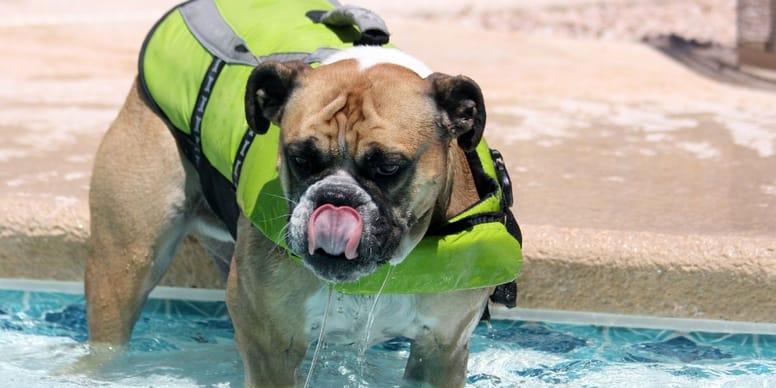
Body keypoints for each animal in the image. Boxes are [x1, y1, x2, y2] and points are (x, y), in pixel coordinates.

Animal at [86, 1, 520, 386]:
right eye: (299, 158)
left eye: (388, 167)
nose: (336, 198)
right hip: (123, 264)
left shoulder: (441, 350)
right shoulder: (270, 343)